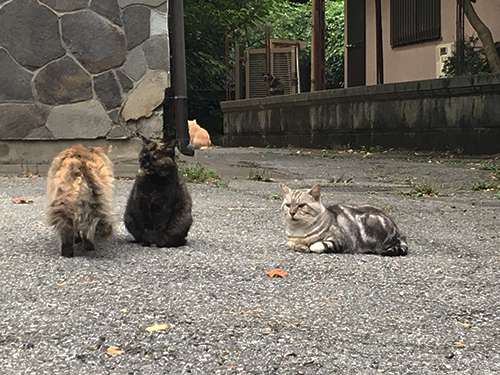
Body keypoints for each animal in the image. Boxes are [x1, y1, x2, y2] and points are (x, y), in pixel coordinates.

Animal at [280, 184, 408, 258]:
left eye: (301, 205)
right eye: (288, 205)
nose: (292, 213)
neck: (300, 231)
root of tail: (399, 233)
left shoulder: (340, 240)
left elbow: (315, 246)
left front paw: (307, 247)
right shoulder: (291, 240)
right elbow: (290, 243)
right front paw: (299, 246)